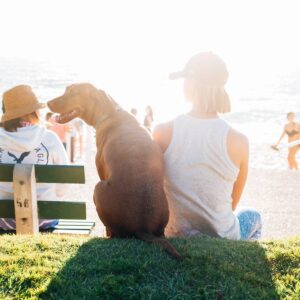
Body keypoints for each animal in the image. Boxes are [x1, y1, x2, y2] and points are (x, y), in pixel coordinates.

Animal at [48, 83, 182, 258]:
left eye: (72, 92)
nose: (47, 103)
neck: (109, 113)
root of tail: (143, 227)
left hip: (98, 188)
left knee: (113, 232)